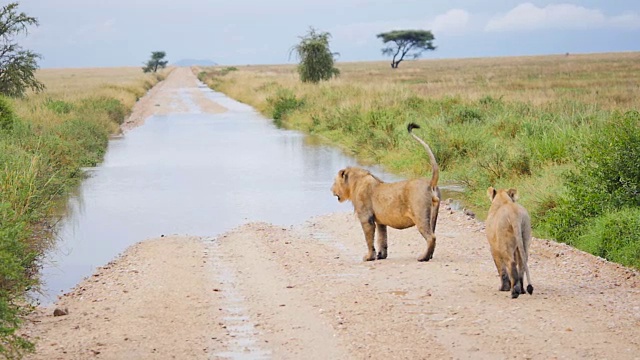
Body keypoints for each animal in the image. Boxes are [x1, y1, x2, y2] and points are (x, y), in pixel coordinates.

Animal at [330, 124, 440, 262]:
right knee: (433, 234)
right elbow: (382, 238)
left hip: (420, 215)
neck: (355, 183)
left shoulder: (366, 218)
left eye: (334, 181)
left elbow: (369, 239)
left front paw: (369, 257)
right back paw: (429, 255)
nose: (331, 189)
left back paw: (423, 257)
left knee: (431, 237)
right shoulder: (380, 221)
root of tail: (430, 183)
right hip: (433, 216)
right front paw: (381, 255)